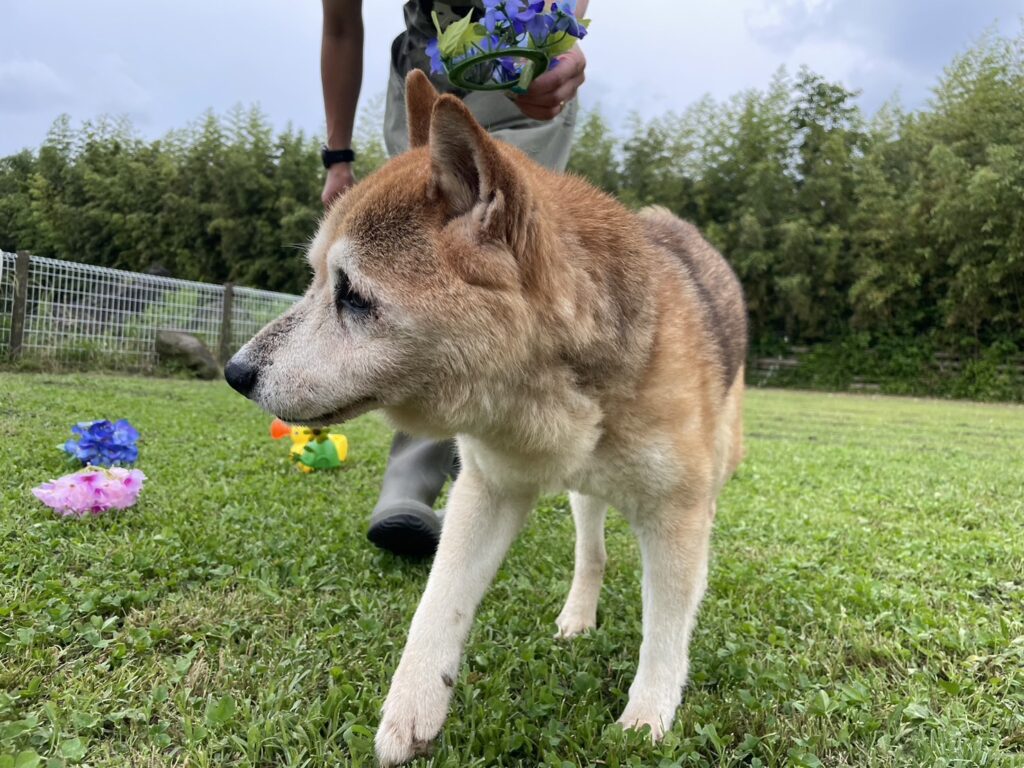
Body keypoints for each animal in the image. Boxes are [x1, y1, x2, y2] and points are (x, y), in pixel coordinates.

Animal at [225, 70, 747, 766]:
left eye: (353, 296)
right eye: (313, 279)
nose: (236, 373)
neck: (546, 398)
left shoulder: (677, 517)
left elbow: (664, 633)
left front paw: (647, 718)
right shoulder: (487, 488)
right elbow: (437, 604)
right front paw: (411, 710)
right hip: (586, 497)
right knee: (593, 555)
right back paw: (577, 617)